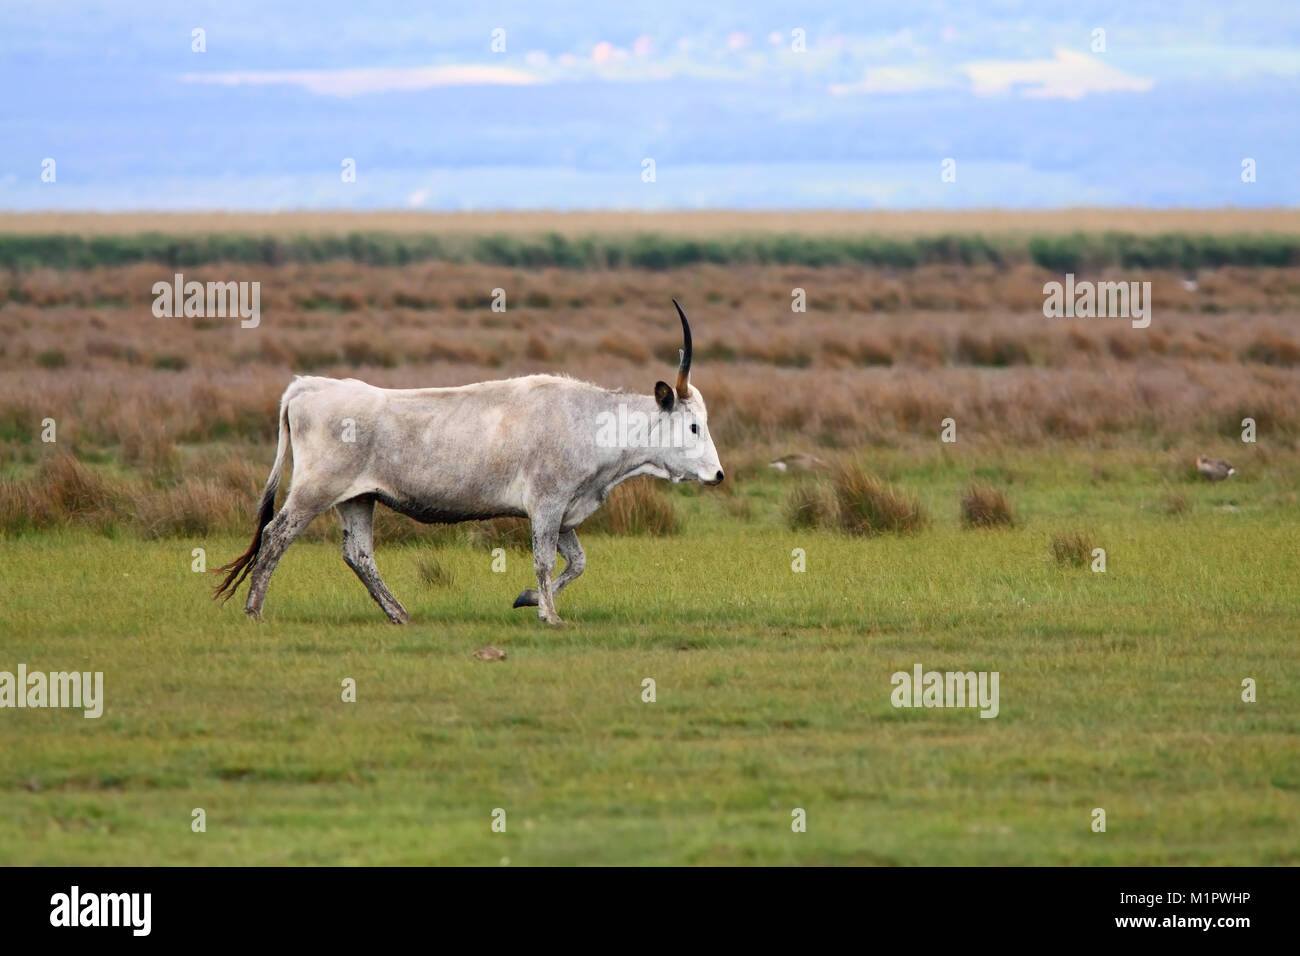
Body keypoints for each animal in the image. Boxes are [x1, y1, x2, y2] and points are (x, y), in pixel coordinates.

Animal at [213, 300, 724, 625]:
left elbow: (577, 564)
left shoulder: (564, 515)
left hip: (358, 499)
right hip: (313, 493)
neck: (588, 418)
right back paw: (254, 610)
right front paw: (549, 615)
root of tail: (309, 386)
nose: (718, 474)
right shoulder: (547, 507)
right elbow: (543, 560)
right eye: (693, 426)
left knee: (358, 554)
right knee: (276, 536)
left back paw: (398, 613)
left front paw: (528, 600)